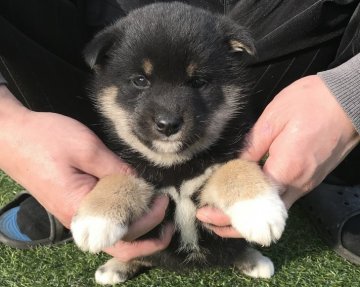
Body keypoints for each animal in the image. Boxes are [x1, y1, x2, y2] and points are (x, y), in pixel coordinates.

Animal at [70, 1, 288, 286]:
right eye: (140, 81)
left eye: (198, 82)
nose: (168, 124)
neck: (175, 168)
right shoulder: (150, 188)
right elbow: (118, 178)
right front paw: (95, 219)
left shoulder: (205, 188)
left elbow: (234, 167)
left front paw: (260, 209)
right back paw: (117, 265)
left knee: (236, 246)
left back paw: (253, 259)